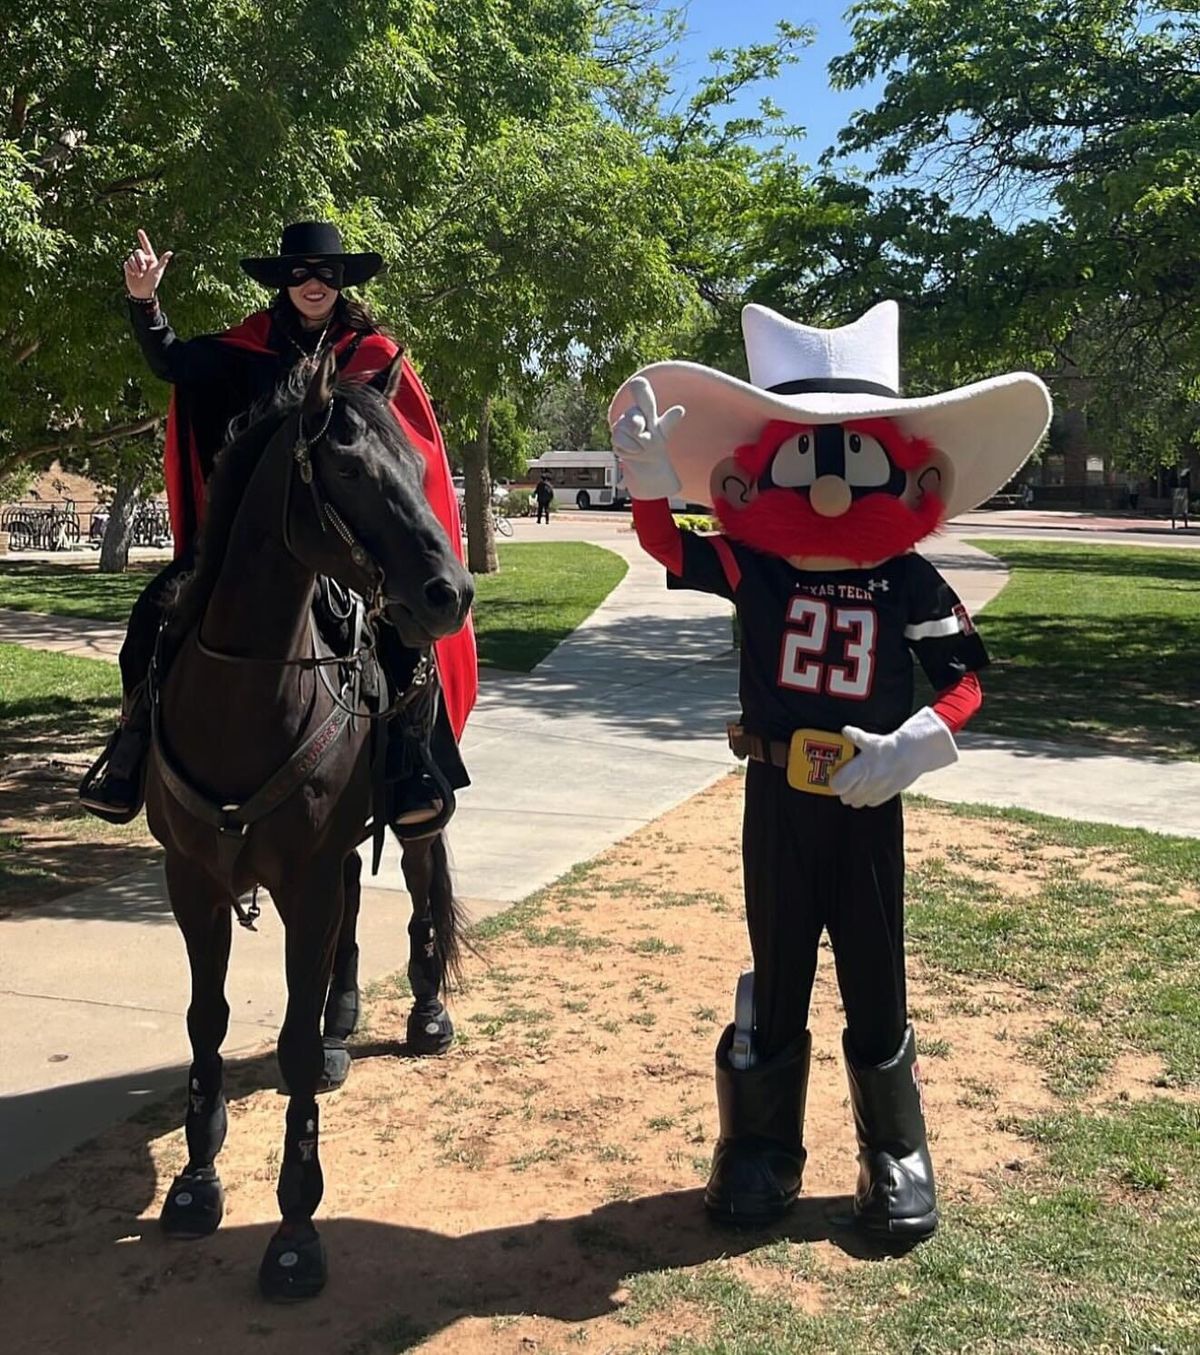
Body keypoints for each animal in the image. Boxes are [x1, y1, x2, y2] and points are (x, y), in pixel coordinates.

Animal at [143, 349, 471, 1300]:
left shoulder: (310, 874)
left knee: (419, 889)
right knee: (352, 919)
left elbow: (286, 1046)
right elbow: (206, 1021)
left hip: (408, 818)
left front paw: (295, 1225)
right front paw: (195, 1177)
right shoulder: (193, 883)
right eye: (351, 471)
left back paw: (423, 1011)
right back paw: (341, 1017)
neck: (245, 692)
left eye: (417, 462)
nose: (450, 592)